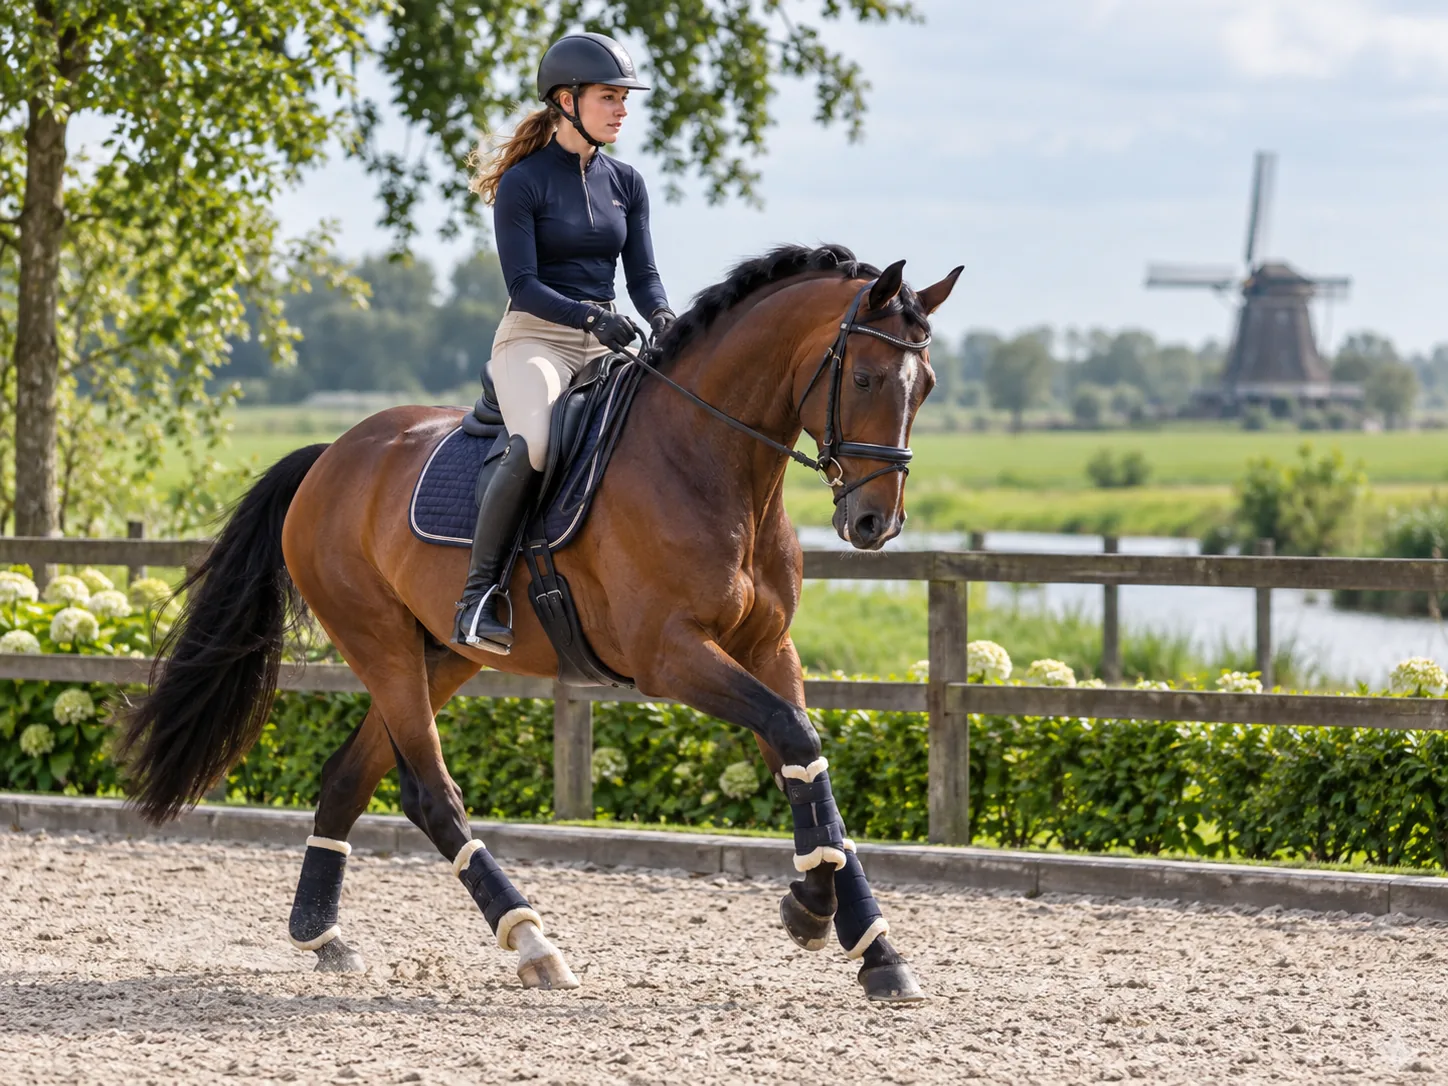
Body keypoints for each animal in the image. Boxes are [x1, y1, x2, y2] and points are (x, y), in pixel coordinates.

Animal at [116, 243, 961, 1002]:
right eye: (864, 376)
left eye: (926, 386)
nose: (874, 523)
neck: (712, 464)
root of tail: (331, 458)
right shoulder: (672, 656)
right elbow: (794, 736)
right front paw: (812, 909)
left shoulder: (766, 650)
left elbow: (805, 758)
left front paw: (874, 950)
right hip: (379, 643)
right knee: (432, 794)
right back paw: (532, 943)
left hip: (442, 654)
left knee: (352, 776)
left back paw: (321, 935)